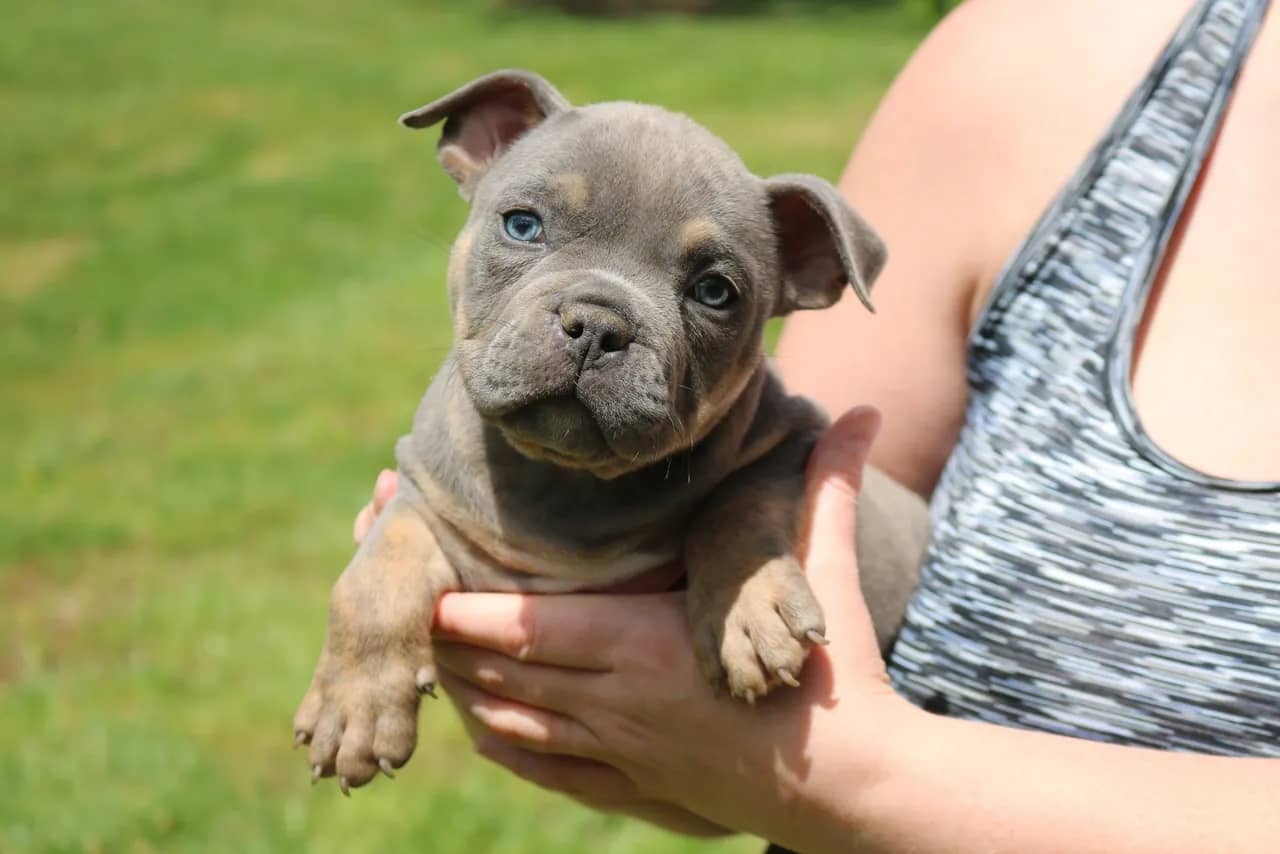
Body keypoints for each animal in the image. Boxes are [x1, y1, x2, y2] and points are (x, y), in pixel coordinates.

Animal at [293, 68, 931, 793]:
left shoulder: (791, 437)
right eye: (523, 225)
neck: (562, 478)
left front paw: (751, 607)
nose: (598, 325)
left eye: (715, 292)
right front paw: (356, 704)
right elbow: (374, 574)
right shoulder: (429, 493)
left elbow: (738, 507)